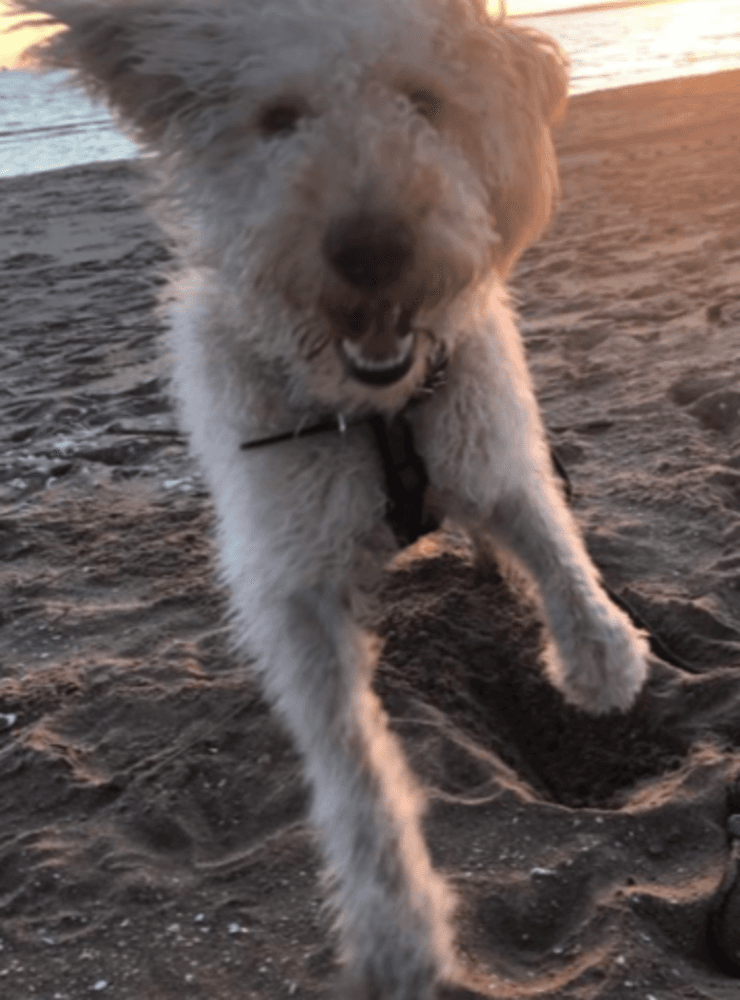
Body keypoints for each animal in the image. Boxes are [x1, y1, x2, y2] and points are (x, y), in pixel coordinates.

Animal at [14, 1, 652, 992]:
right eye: (278, 119)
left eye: (425, 101)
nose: (373, 248)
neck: (374, 412)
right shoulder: (291, 584)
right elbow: (351, 761)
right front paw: (397, 929)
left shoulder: (488, 443)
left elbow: (551, 543)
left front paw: (601, 659)